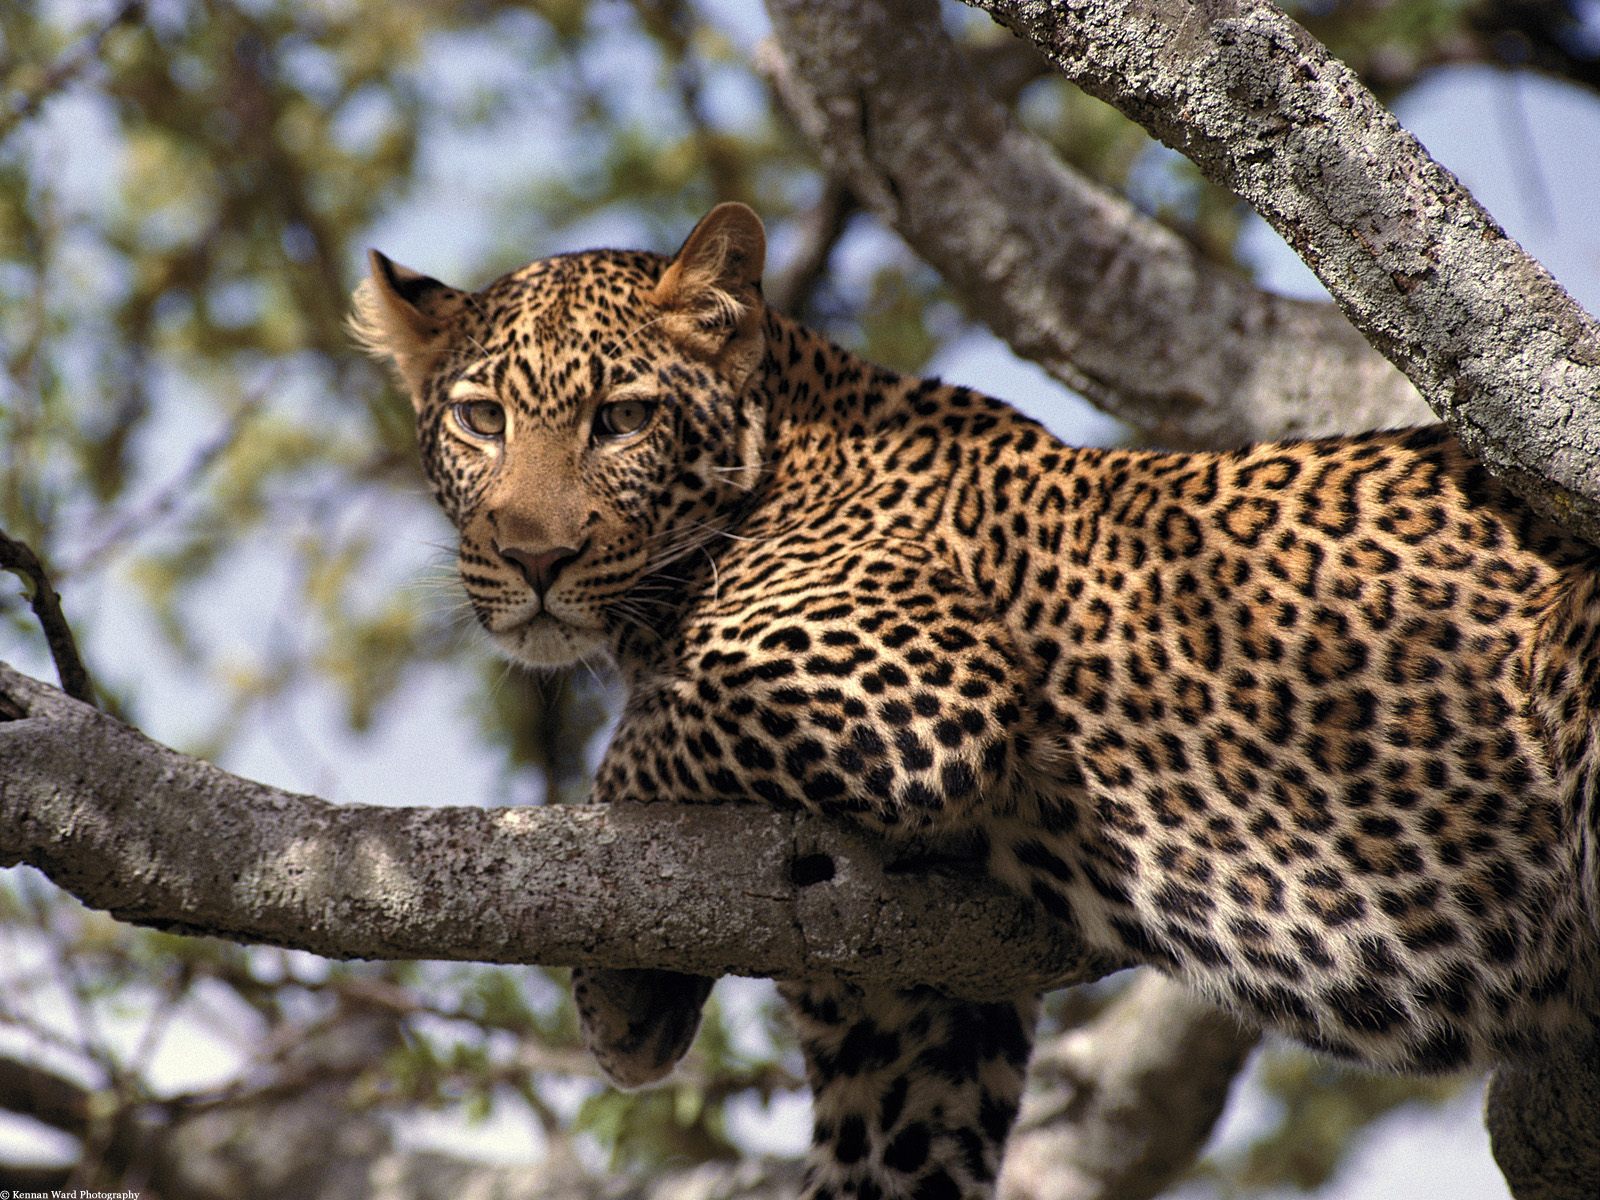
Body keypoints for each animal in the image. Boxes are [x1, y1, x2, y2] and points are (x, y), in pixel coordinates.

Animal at [353, 202, 1600, 1196]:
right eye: (479, 420)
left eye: (621, 418)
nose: (533, 557)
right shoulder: (911, 1015)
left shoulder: (919, 687)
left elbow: (649, 736)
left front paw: (616, 986)